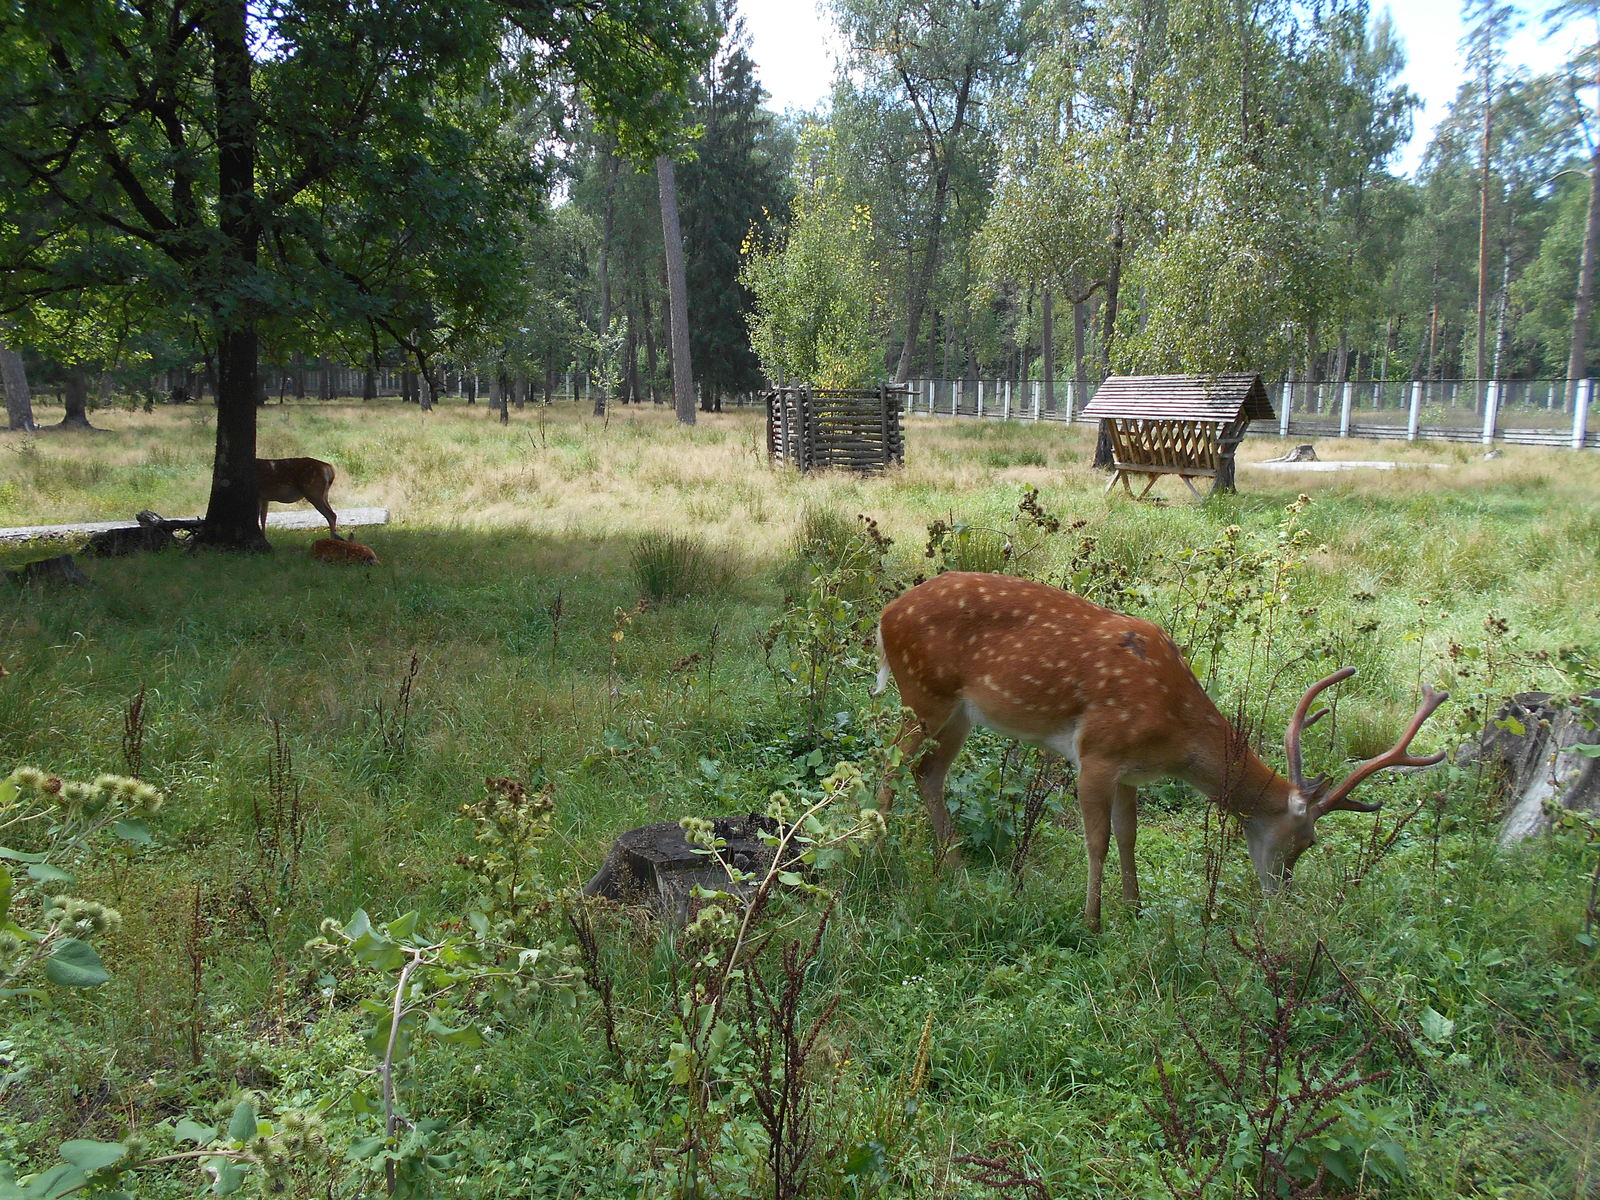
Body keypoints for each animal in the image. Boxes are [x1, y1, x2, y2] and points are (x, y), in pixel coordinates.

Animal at [876, 572, 1452, 928]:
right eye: (1306, 841)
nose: (1281, 895)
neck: (1175, 737)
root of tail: (884, 617)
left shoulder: (1131, 772)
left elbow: (1129, 838)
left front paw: (1134, 910)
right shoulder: (1097, 753)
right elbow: (1098, 842)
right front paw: (1092, 921)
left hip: (957, 714)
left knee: (927, 774)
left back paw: (954, 869)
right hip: (923, 695)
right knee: (889, 765)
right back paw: (877, 855)